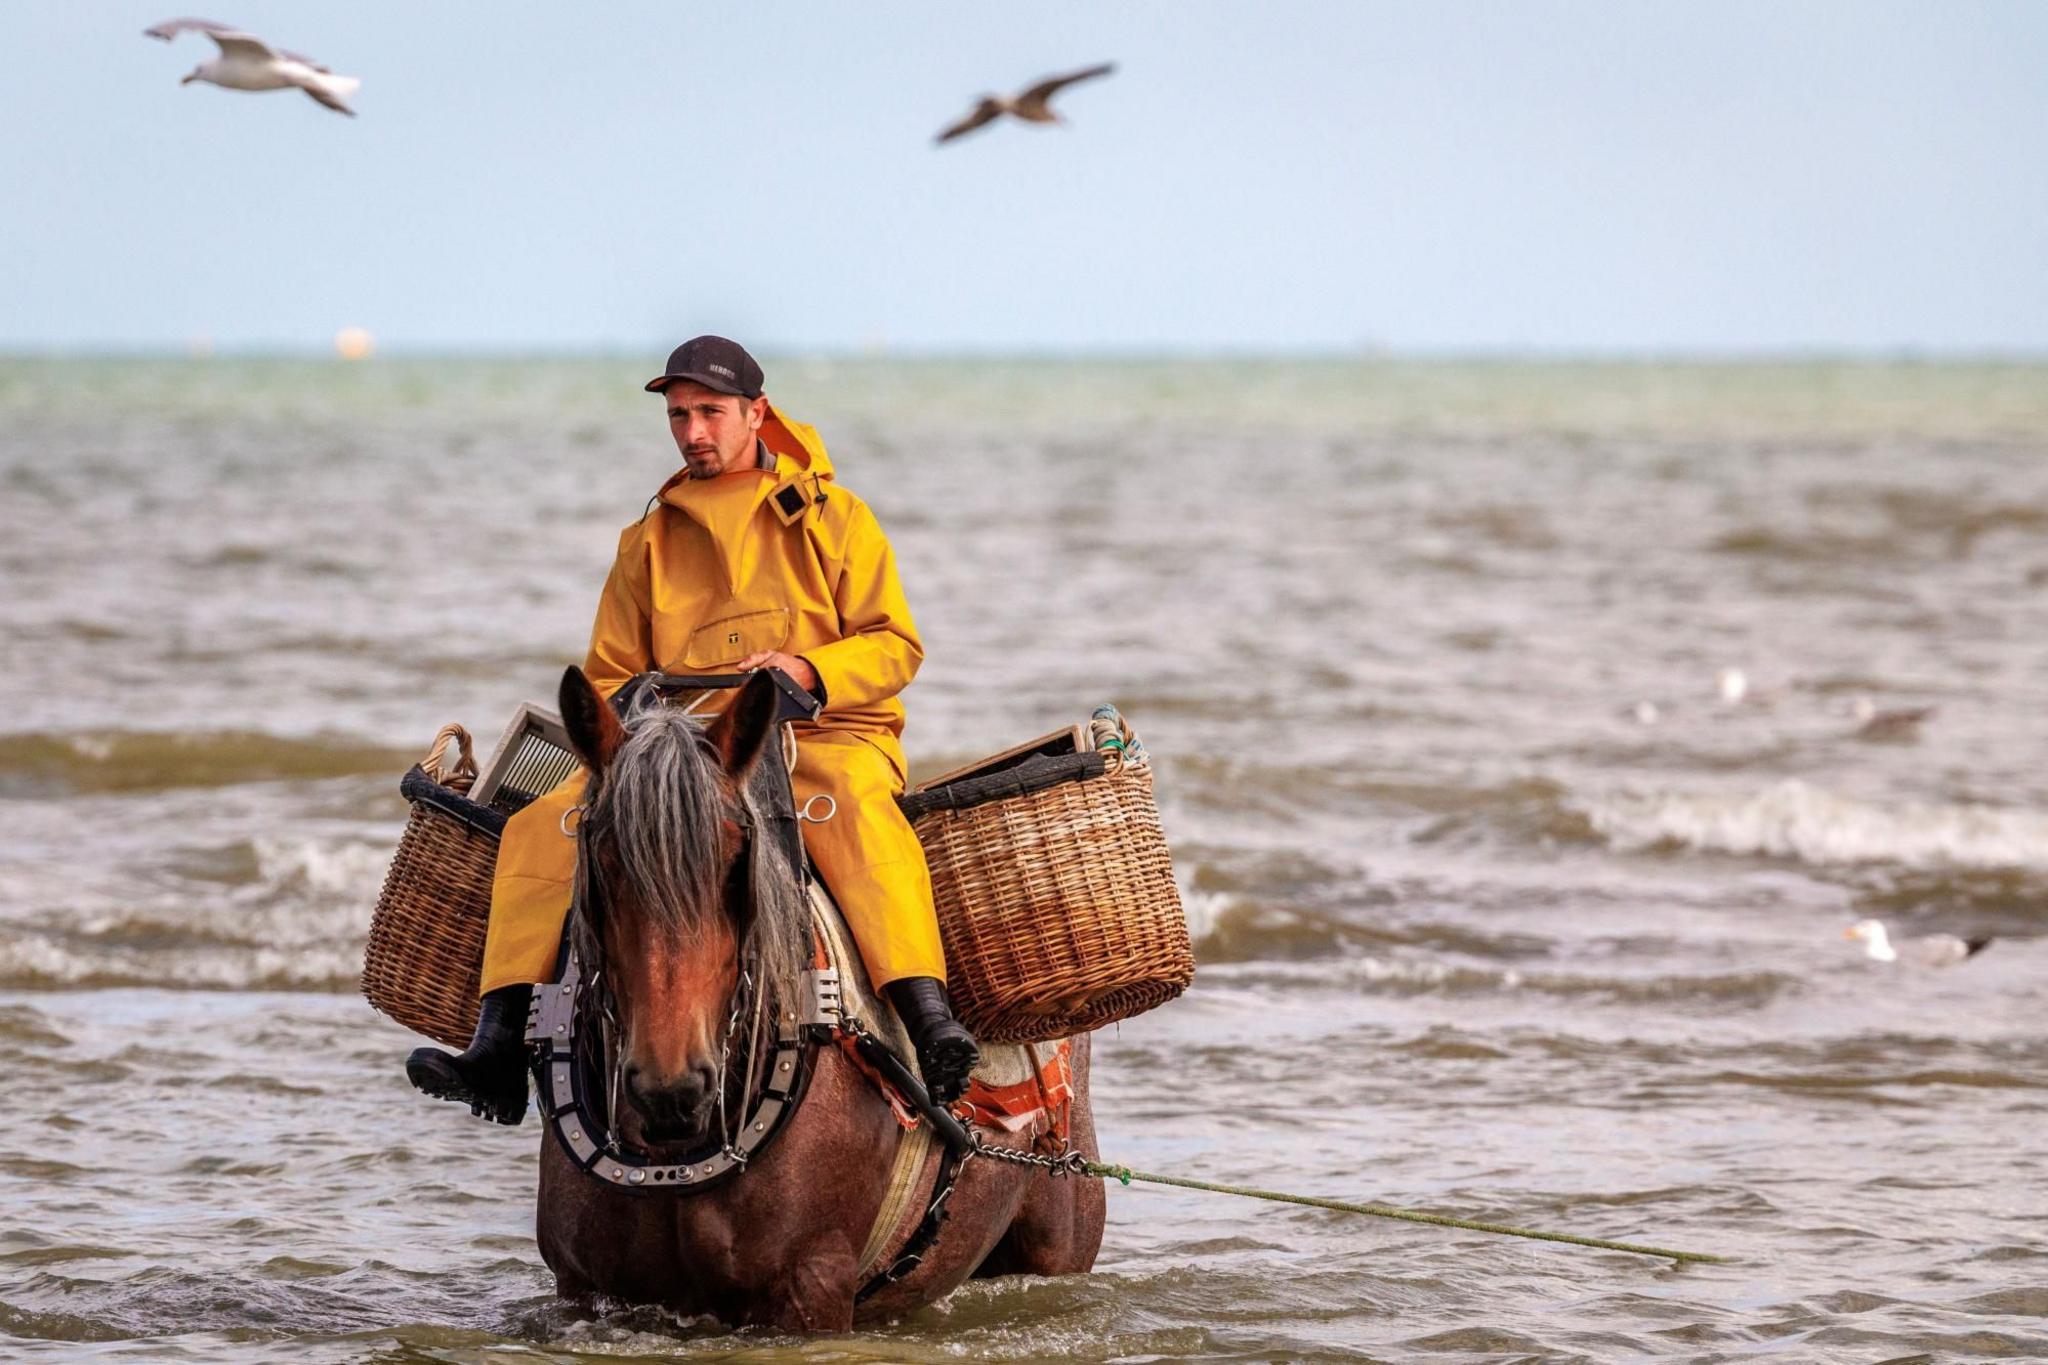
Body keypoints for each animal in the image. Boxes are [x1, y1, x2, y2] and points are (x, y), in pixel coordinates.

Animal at [532, 671, 1105, 1334]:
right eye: (603, 860)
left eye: (736, 861)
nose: (671, 1087)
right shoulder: (584, 1290)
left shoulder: (812, 1288)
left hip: (1059, 1246)